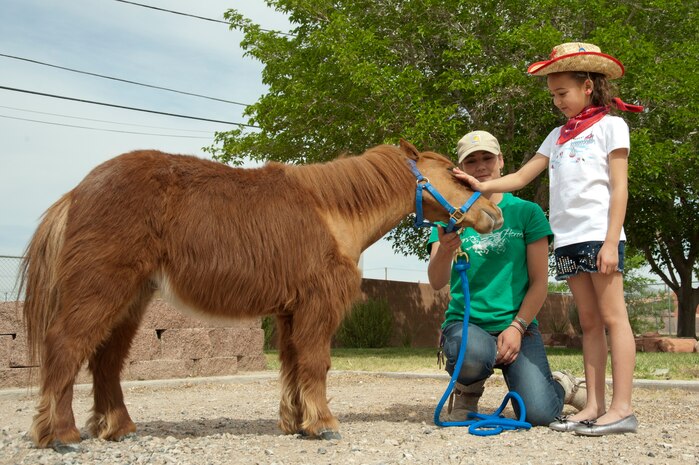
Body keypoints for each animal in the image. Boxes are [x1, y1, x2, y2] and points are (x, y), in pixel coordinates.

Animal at [20, 139, 503, 448]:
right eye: (458, 178)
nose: (494, 214)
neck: (330, 211)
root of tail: (77, 192)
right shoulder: (316, 307)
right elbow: (315, 362)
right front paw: (324, 424)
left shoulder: (290, 312)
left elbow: (291, 365)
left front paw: (296, 423)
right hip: (102, 289)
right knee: (66, 346)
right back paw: (61, 436)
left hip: (130, 299)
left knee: (106, 360)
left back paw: (117, 428)